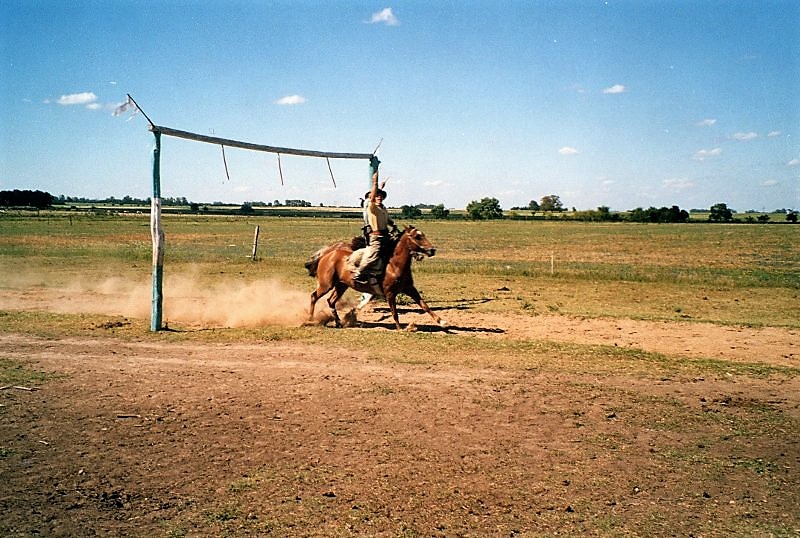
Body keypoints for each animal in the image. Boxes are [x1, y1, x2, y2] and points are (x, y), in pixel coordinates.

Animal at [304, 225, 446, 328]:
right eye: (417, 237)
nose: (432, 250)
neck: (393, 265)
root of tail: (327, 254)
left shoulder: (410, 289)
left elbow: (424, 305)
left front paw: (441, 321)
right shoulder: (389, 293)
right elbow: (394, 312)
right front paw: (401, 328)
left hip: (341, 286)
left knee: (331, 301)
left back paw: (339, 322)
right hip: (326, 285)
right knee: (314, 296)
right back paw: (310, 319)